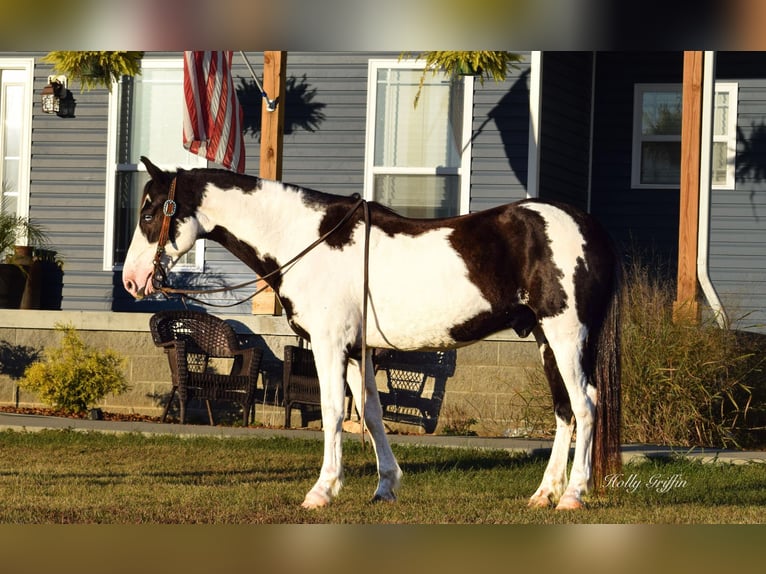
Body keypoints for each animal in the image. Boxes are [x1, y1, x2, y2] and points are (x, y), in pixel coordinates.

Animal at [121, 158, 624, 512]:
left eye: (149, 213)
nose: (131, 280)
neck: (308, 240)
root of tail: (591, 228)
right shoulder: (356, 351)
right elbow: (370, 412)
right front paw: (386, 486)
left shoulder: (328, 346)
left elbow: (330, 412)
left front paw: (322, 490)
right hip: (545, 340)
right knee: (564, 411)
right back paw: (544, 494)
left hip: (566, 335)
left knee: (585, 405)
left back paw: (572, 495)